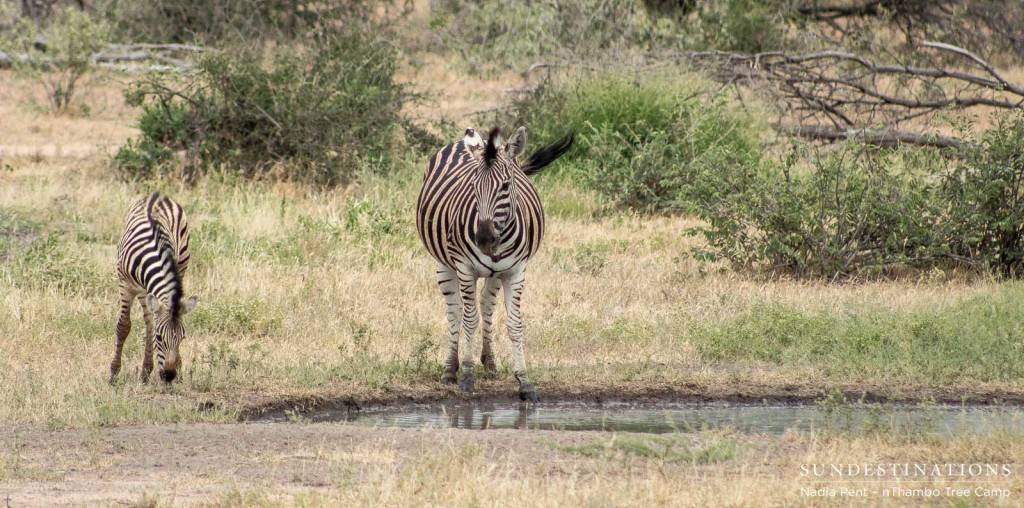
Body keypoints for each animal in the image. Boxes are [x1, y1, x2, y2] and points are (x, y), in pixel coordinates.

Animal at [110, 192, 197, 383]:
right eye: (159, 338)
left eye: (183, 338)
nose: (170, 375)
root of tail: (158, 195)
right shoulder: (125, 285)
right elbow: (123, 326)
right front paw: (113, 373)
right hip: (142, 290)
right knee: (150, 321)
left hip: (181, 265)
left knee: (150, 321)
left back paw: (146, 371)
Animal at [415, 123, 577, 401]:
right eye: (473, 186)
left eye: (505, 185)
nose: (483, 238)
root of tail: (467, 140)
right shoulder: (465, 269)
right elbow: (469, 320)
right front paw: (467, 376)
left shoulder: (516, 271)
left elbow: (514, 323)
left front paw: (524, 381)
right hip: (443, 263)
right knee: (455, 310)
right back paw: (450, 370)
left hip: (495, 274)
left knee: (487, 304)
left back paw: (489, 363)